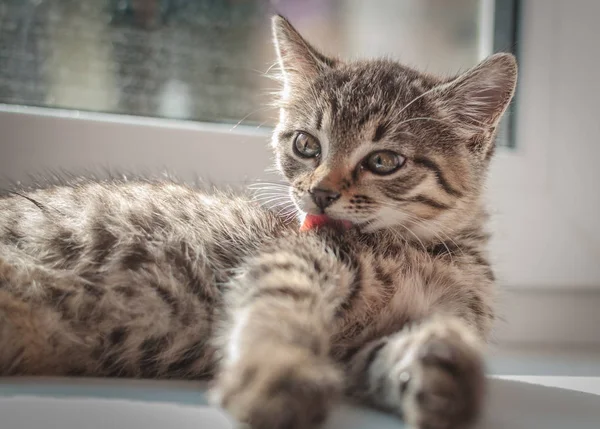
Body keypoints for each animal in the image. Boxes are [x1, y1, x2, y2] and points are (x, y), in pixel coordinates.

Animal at [0, 15, 516, 428]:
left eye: (384, 161)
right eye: (307, 145)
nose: (320, 193)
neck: (422, 248)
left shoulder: (370, 343)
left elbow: (407, 350)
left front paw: (447, 376)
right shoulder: (293, 258)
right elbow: (279, 309)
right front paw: (278, 374)